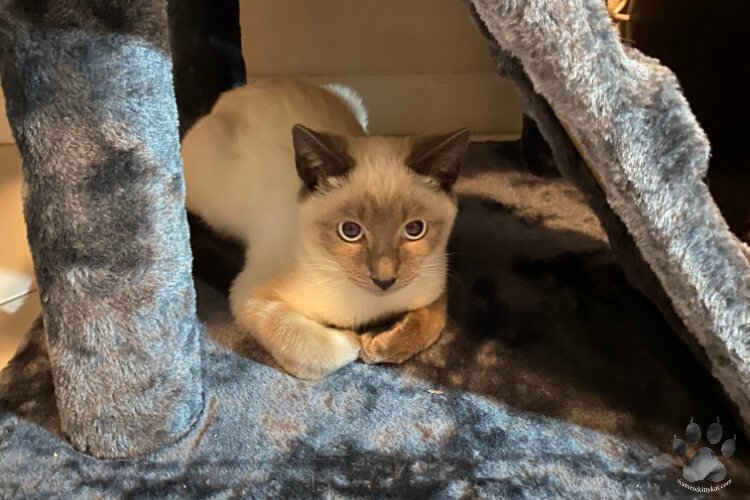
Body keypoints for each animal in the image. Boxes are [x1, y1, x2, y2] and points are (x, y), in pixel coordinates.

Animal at [181, 79, 470, 378]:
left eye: (414, 229)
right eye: (350, 231)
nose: (384, 281)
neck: (374, 307)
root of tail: (236, 92)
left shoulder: (433, 280)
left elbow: (433, 322)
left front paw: (379, 344)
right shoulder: (250, 297)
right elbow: (321, 353)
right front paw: (355, 339)